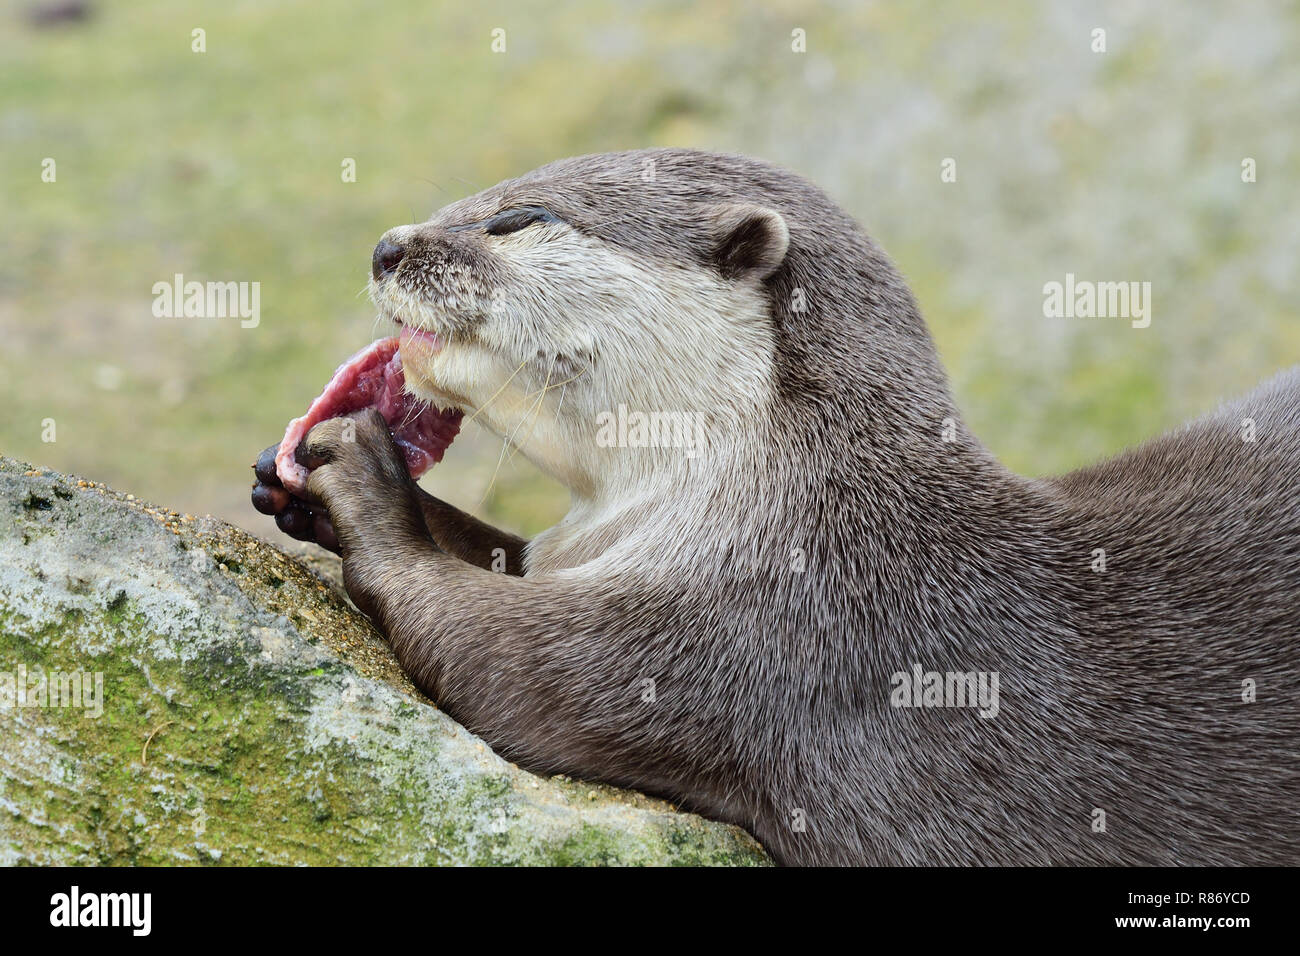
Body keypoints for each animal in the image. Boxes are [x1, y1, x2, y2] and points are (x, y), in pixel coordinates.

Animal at [251, 148, 1300, 866]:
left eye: (521, 216)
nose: (387, 245)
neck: (799, 504)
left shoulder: (772, 634)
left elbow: (499, 660)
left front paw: (363, 485)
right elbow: (507, 554)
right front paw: (290, 483)